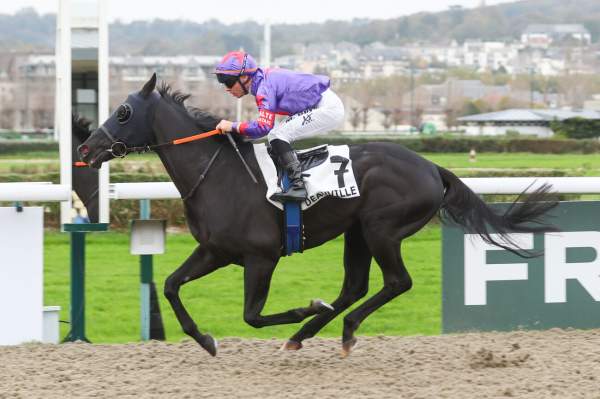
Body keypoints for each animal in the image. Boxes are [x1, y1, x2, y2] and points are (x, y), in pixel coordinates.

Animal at [77, 73, 560, 358]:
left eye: (123, 111)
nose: (85, 147)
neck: (217, 174)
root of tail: (430, 166)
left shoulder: (260, 257)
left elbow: (253, 315)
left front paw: (302, 308)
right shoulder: (215, 250)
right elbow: (172, 285)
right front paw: (206, 340)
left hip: (381, 229)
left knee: (395, 282)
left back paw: (335, 328)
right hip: (357, 232)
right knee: (355, 287)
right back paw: (308, 333)